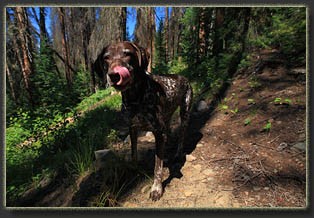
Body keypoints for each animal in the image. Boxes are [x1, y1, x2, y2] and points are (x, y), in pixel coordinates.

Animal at [93, 41, 193, 201]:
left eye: (127, 53)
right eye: (106, 58)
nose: (114, 75)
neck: (135, 98)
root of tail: (183, 77)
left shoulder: (158, 132)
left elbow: (157, 167)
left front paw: (157, 188)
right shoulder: (132, 128)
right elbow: (134, 154)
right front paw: (134, 169)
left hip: (185, 113)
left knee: (181, 137)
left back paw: (178, 153)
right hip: (167, 118)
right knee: (170, 132)